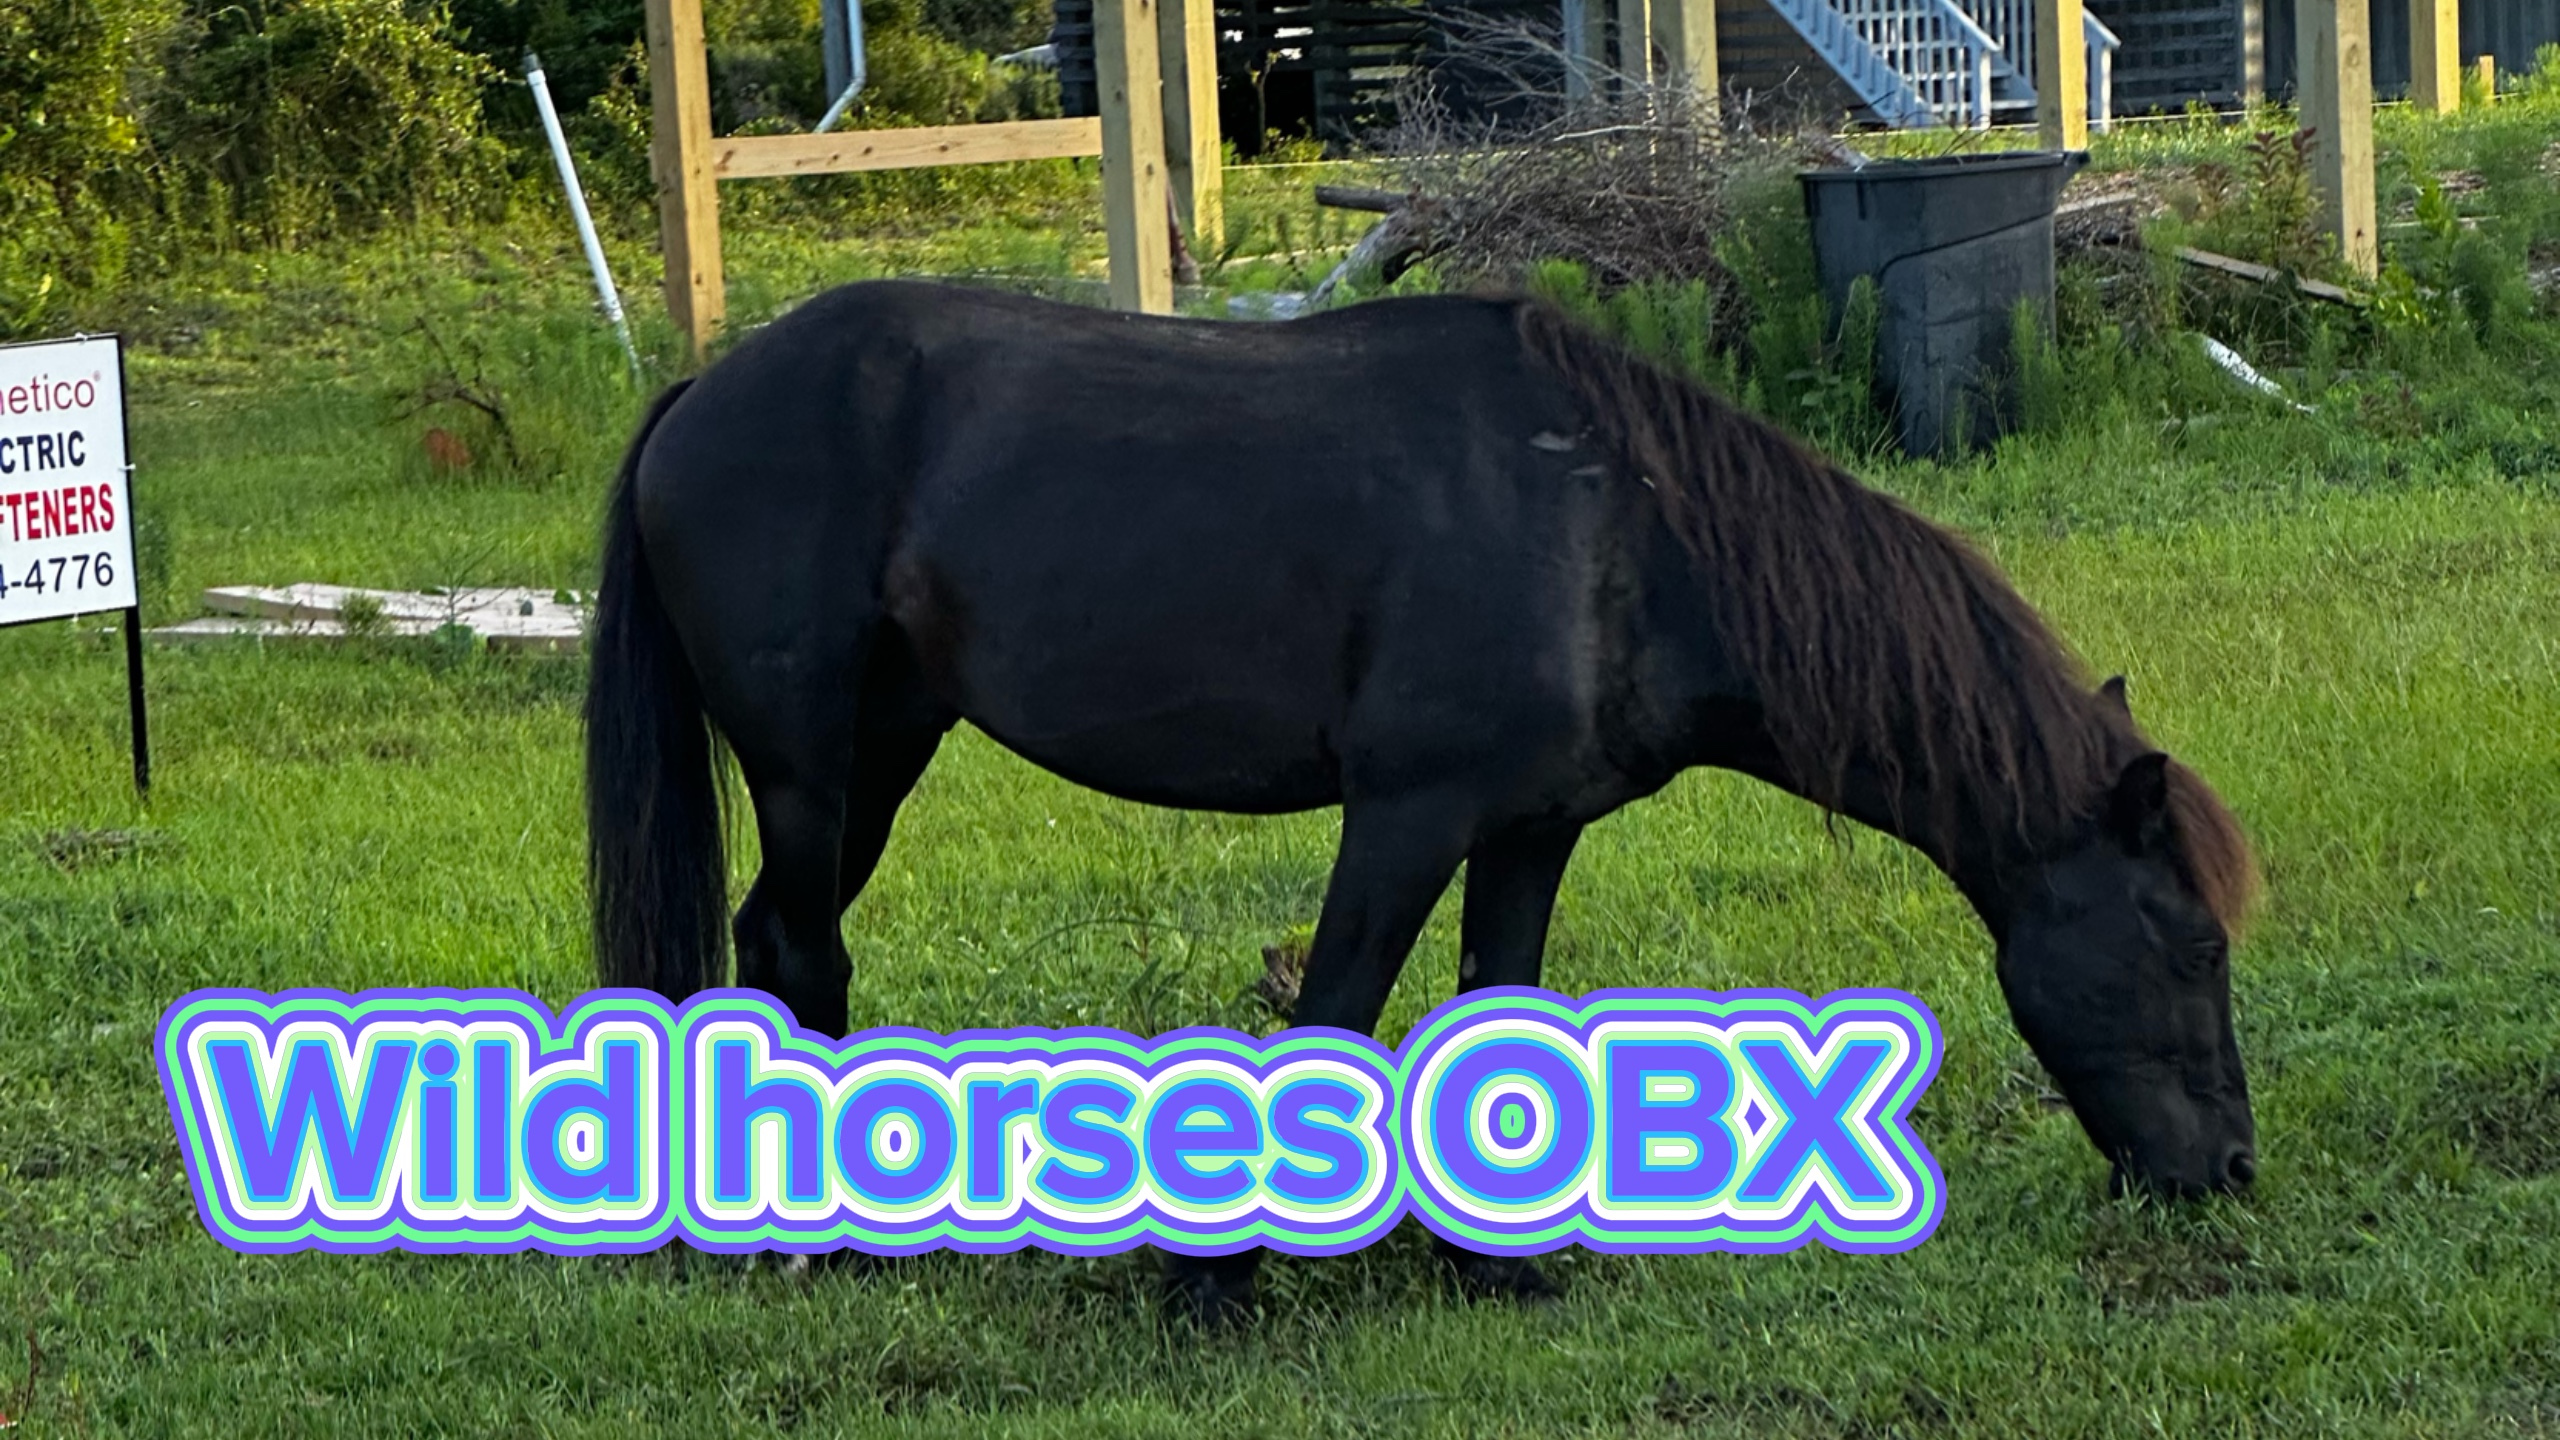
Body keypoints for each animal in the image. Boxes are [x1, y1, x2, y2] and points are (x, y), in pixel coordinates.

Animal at [585, 279, 2261, 1322]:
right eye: (2191, 947)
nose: (2229, 1176)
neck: (1613, 530)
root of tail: (707, 389)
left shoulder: (1530, 829)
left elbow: (1494, 1013)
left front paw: (1495, 1266)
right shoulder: (1406, 817)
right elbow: (1335, 1012)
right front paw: (1216, 1279)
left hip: (885, 750)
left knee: (772, 944)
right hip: (812, 765)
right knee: (802, 949)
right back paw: (820, 1247)